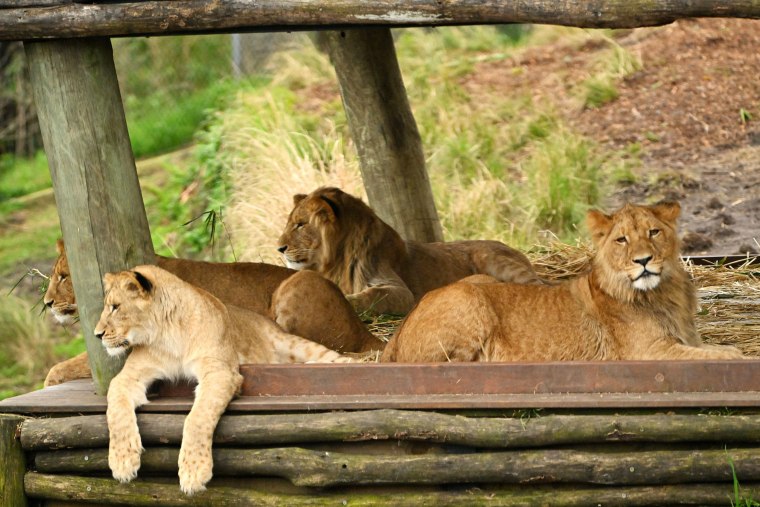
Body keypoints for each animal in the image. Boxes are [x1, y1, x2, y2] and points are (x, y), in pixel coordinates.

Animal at [95, 266, 354, 496]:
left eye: (115, 307)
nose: (97, 335)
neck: (166, 334)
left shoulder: (220, 371)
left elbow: (197, 418)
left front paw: (194, 472)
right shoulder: (130, 375)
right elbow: (115, 407)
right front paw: (122, 460)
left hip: (295, 344)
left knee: (339, 359)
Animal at [276, 185, 544, 316]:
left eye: (301, 224)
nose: (279, 248)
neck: (338, 259)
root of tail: (514, 248)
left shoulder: (401, 292)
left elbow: (371, 296)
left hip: (494, 259)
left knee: (540, 285)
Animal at [380, 200, 744, 364]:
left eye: (654, 232)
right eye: (622, 240)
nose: (643, 260)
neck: (664, 293)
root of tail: (396, 333)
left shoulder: (686, 341)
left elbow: (726, 349)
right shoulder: (648, 352)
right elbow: (728, 357)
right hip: (469, 300)